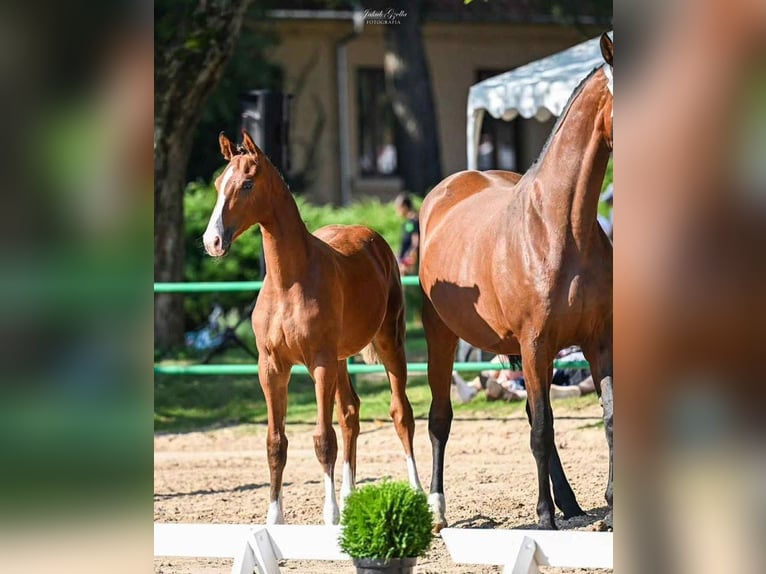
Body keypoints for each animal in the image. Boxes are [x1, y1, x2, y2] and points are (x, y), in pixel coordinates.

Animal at [202, 130, 423, 525]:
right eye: (217, 184)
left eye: (246, 184)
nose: (212, 241)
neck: (288, 283)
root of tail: (371, 237)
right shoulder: (272, 367)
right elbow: (276, 443)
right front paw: (275, 519)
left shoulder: (319, 364)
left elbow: (323, 440)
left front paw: (330, 515)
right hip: (341, 359)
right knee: (350, 412)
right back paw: (351, 499)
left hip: (389, 343)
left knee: (401, 414)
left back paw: (421, 497)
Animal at [419, 32, 614, 531]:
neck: (561, 227)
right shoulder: (535, 344)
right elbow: (542, 430)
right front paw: (543, 516)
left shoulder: (597, 340)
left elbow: (607, 418)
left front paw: (610, 501)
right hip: (442, 336)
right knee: (440, 418)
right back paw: (437, 506)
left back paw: (570, 502)